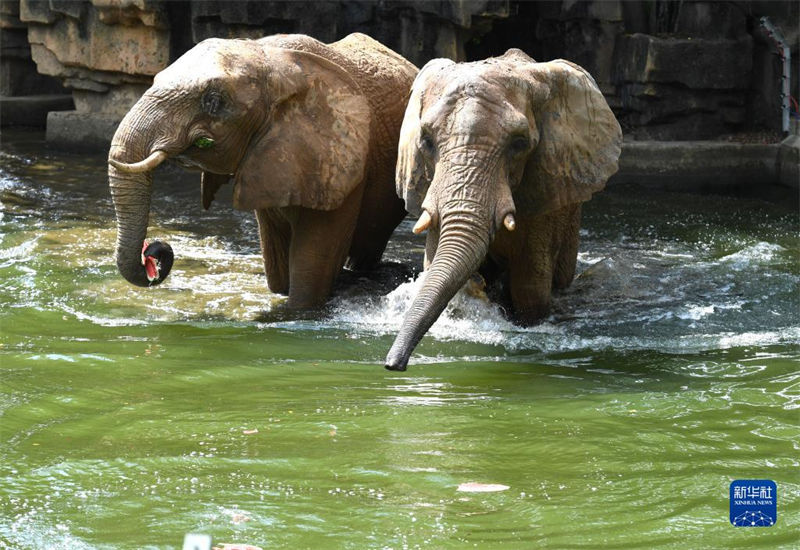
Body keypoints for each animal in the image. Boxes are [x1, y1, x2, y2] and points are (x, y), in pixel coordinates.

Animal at [108, 33, 418, 310]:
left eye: (213, 101)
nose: (154, 253)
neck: (271, 61)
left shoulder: (342, 164)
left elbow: (310, 274)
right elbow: (279, 277)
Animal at [384, 49, 620, 374]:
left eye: (519, 144)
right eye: (427, 141)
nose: (393, 365)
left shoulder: (544, 194)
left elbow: (530, 288)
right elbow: (433, 263)